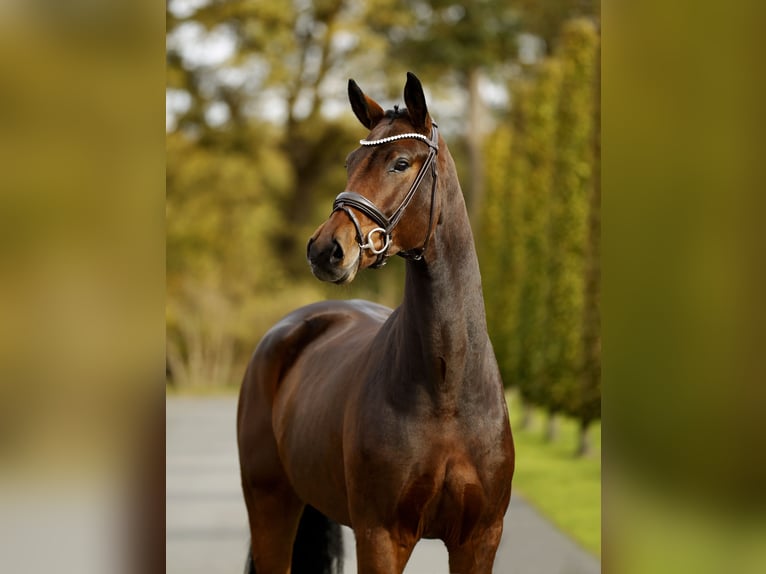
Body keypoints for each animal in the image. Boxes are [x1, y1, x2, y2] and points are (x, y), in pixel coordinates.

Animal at [237, 72, 514, 574]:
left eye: (400, 163)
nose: (325, 250)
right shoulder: (381, 536)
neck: (446, 390)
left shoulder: (479, 539)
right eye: (350, 161)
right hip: (271, 504)